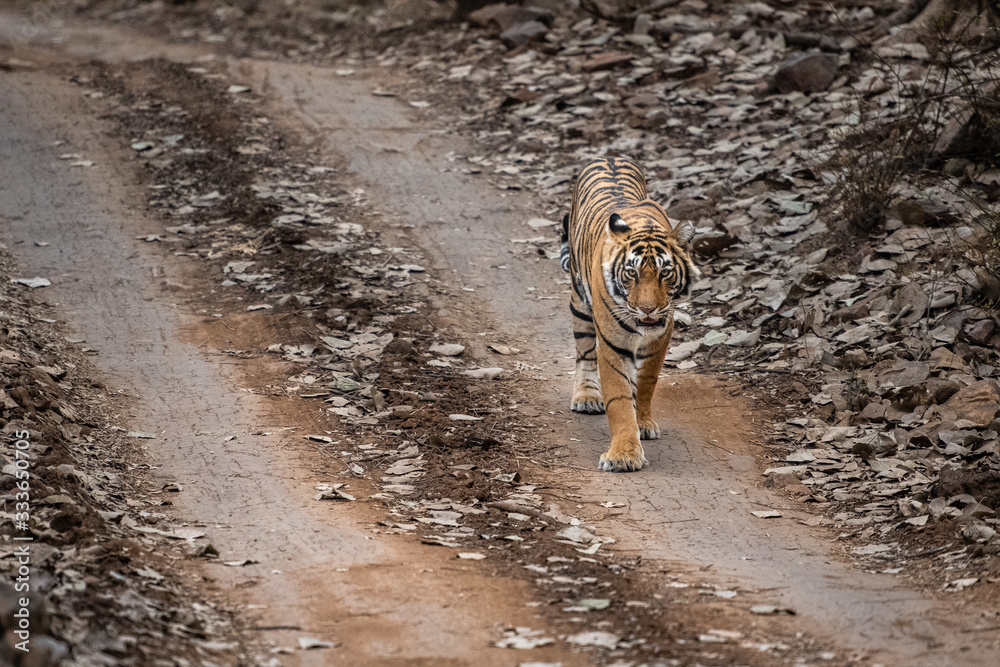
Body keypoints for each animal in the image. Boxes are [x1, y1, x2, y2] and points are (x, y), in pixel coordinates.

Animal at [560, 156, 697, 472]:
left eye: (665, 273)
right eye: (631, 273)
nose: (647, 309)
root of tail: (608, 156)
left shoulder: (660, 339)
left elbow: (646, 382)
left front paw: (642, 423)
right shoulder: (613, 344)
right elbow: (619, 398)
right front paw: (623, 455)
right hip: (579, 304)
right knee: (584, 354)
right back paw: (587, 397)